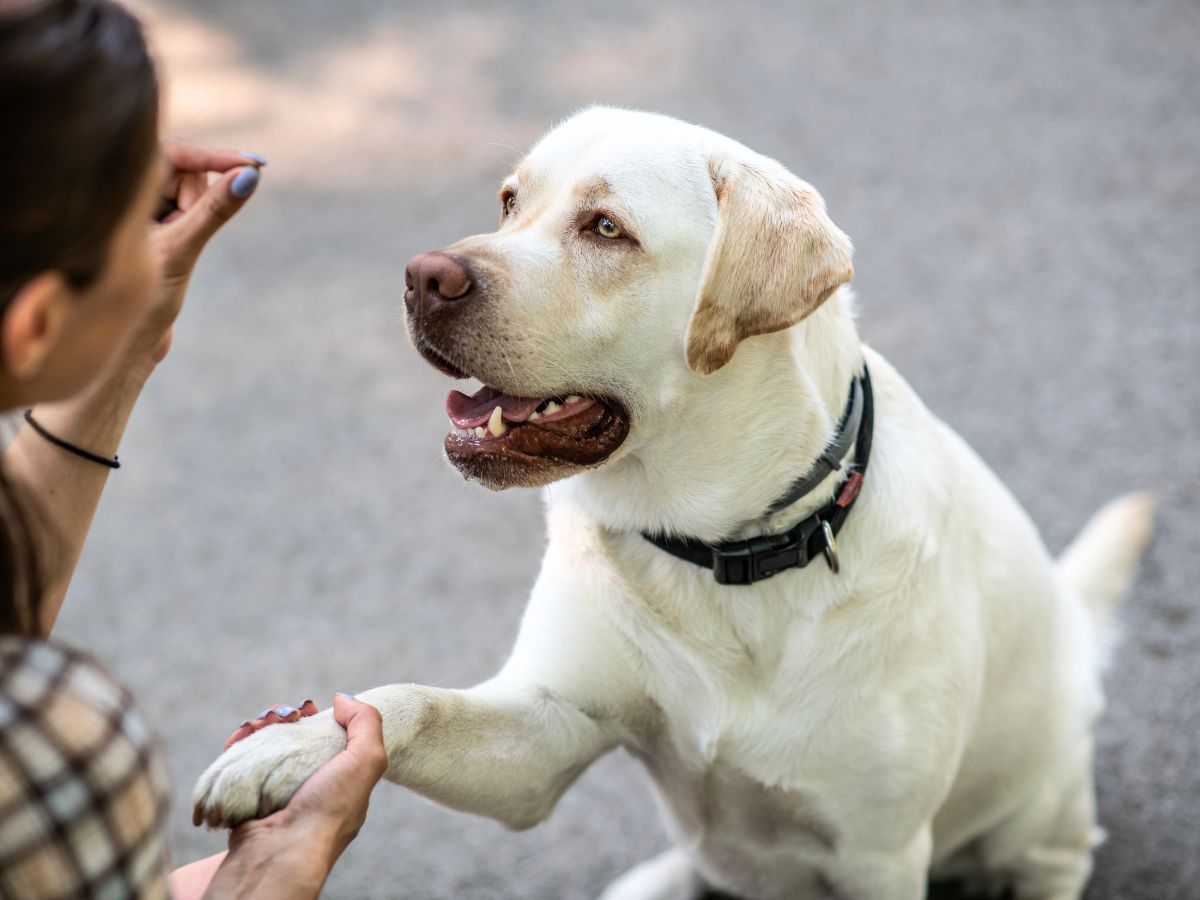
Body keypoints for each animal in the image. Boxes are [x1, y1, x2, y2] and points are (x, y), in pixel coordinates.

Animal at [196, 107, 1152, 900]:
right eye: (509, 202)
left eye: (605, 228)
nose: (422, 276)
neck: (722, 550)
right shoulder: (542, 736)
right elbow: (407, 703)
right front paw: (290, 747)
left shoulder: (879, 854)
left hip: (1044, 806)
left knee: (1057, 857)